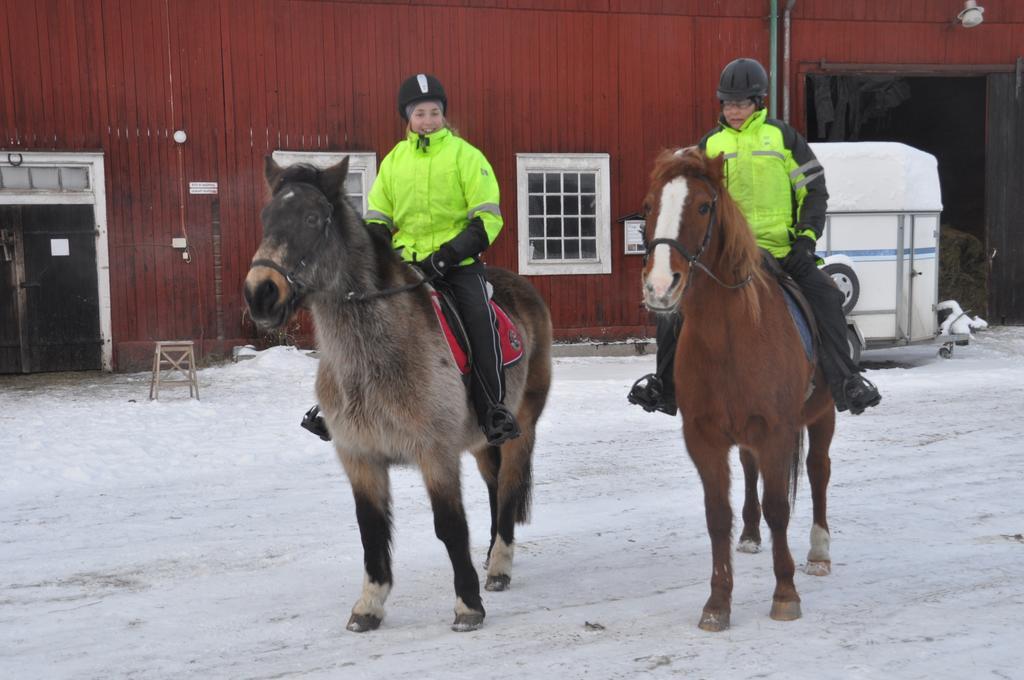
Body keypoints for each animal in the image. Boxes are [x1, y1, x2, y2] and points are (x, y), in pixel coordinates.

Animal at [243, 155, 552, 630]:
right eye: (266, 217)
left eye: (313, 219)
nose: (261, 292)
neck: (373, 361)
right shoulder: (359, 457)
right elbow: (370, 529)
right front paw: (369, 605)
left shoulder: (435, 454)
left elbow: (450, 526)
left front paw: (468, 605)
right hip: (482, 442)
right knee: (495, 486)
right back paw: (490, 558)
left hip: (522, 427)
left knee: (509, 487)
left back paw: (499, 565)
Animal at [643, 147, 835, 630]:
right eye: (650, 205)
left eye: (703, 207)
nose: (659, 286)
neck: (729, 336)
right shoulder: (704, 437)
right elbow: (717, 515)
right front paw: (717, 602)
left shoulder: (777, 431)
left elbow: (779, 509)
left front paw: (785, 593)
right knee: (750, 471)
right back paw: (749, 535)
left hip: (823, 414)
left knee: (819, 471)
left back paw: (819, 552)